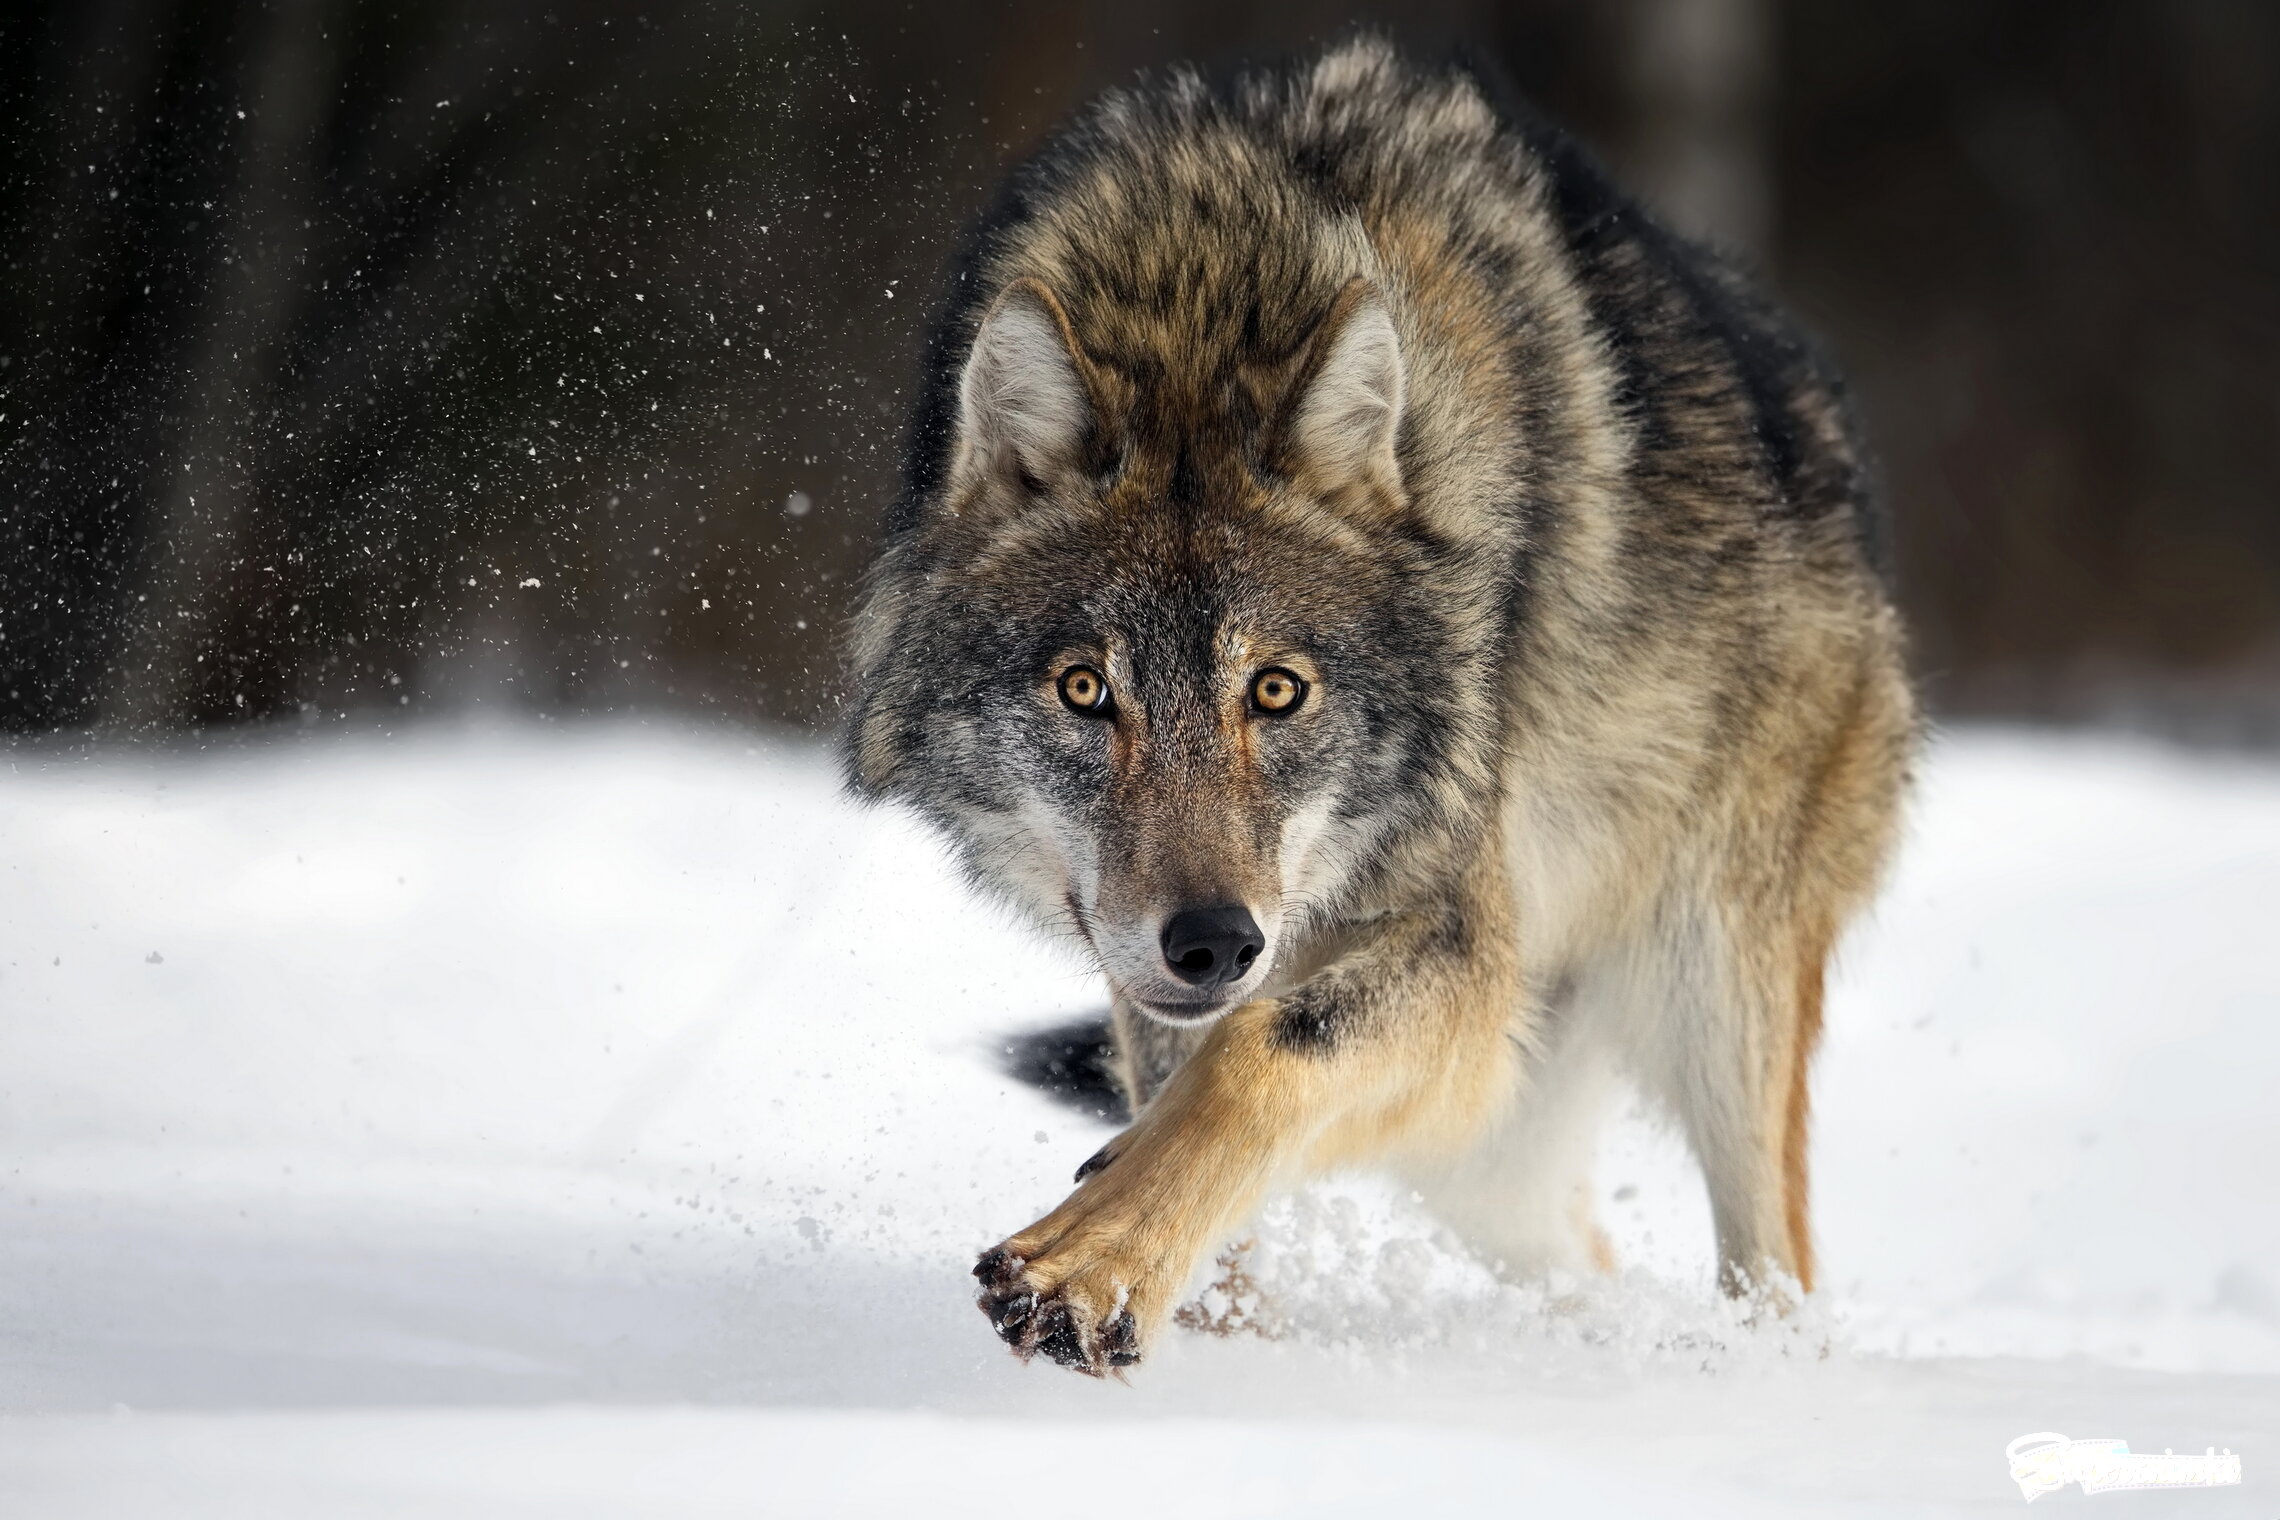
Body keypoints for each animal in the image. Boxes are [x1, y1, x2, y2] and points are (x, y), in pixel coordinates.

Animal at [848, 41, 1915, 1376]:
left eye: (1277, 691)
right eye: (1086, 691)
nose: (1215, 941)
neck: (1205, 284)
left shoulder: (1460, 956)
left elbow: (1258, 1056)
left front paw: (1089, 1266)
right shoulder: (1192, 997)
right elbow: (1201, 1114)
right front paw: (1205, 1326)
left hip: (1707, 990)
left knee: (1778, 1271)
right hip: (1498, 1137)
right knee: (1583, 1252)